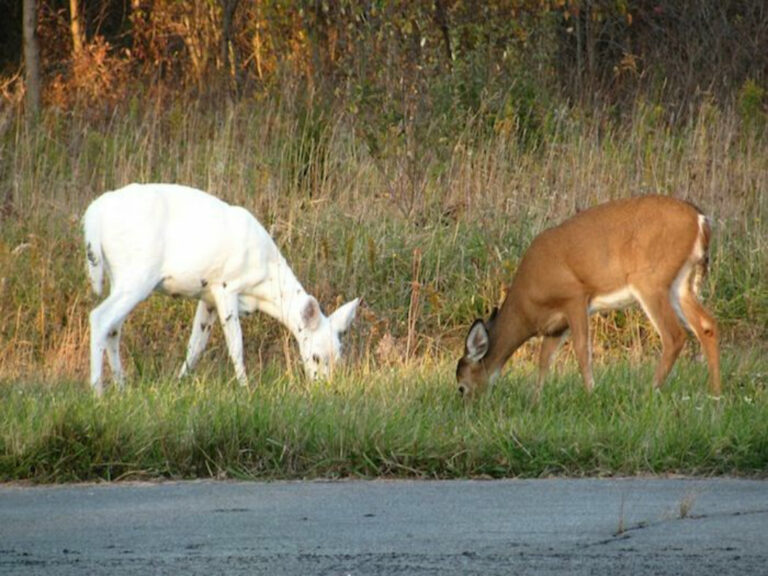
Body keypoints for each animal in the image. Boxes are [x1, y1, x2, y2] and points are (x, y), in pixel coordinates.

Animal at [84, 183, 360, 395]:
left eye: (339, 357)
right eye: (316, 357)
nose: (324, 388)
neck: (265, 285)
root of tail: (94, 215)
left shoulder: (207, 298)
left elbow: (196, 345)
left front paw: (180, 382)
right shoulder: (226, 286)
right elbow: (235, 344)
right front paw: (245, 388)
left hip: (120, 276)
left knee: (114, 328)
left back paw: (121, 386)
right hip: (137, 273)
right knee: (100, 317)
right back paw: (97, 391)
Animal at [456, 195, 720, 399]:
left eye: (460, 387)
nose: (469, 408)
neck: (527, 305)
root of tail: (700, 220)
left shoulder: (574, 296)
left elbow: (583, 351)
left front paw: (590, 393)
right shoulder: (555, 327)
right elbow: (544, 360)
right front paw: (536, 400)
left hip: (650, 280)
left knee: (674, 335)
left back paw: (650, 391)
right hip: (682, 283)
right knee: (707, 325)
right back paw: (715, 393)